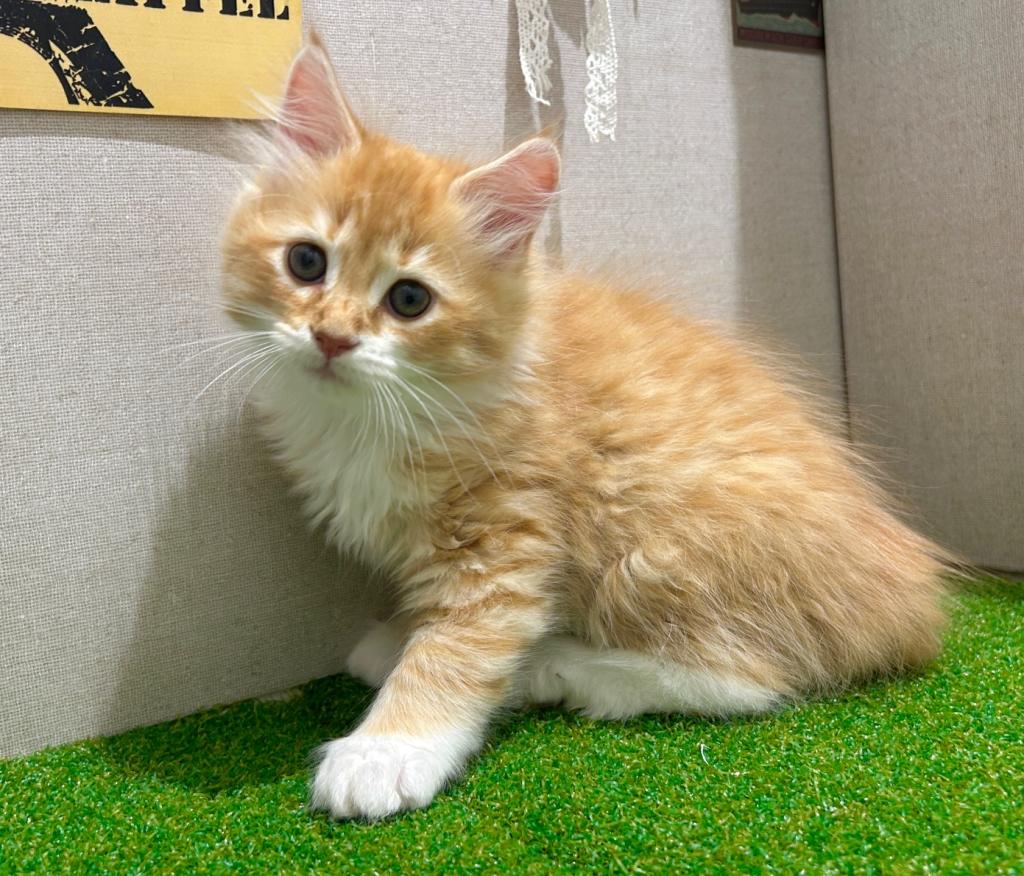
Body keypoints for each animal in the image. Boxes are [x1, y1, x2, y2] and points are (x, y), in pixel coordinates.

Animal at [219, 36, 948, 821]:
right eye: (306, 261)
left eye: (409, 300)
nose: (331, 337)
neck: (374, 415)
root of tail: (912, 598)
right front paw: (399, 643)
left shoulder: (505, 536)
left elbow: (460, 646)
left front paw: (388, 749)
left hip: (655, 536)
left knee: (753, 678)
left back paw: (556, 667)